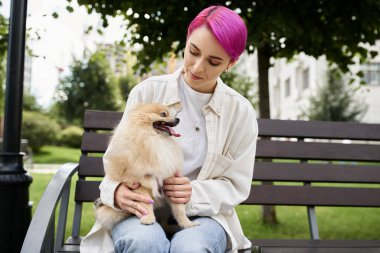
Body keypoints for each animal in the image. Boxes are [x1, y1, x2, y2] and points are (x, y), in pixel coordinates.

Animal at [95, 103, 199, 231]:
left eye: (170, 114)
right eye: (163, 114)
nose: (177, 119)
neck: (156, 139)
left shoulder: (170, 182)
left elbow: (179, 209)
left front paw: (187, 224)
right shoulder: (142, 184)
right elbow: (146, 205)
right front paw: (148, 218)